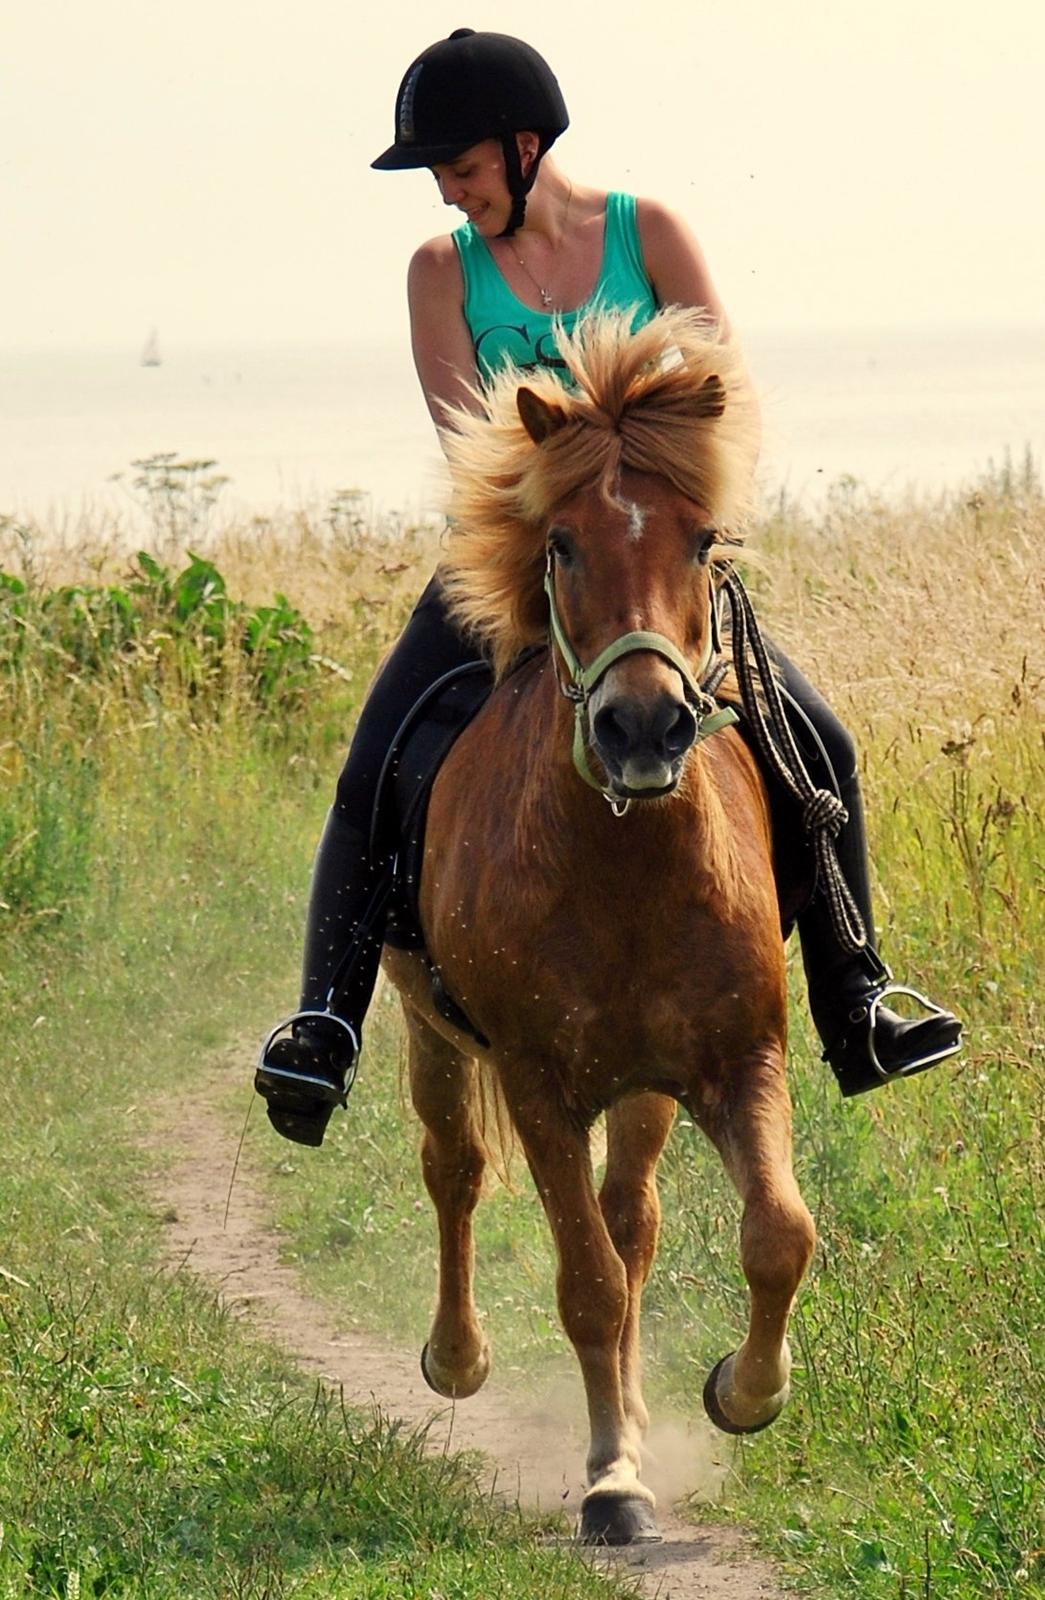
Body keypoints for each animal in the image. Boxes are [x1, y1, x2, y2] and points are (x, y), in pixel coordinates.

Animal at [380, 305, 816, 1542]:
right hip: (428, 1032)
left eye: (704, 538)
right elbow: (583, 1281)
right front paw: (614, 1477)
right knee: (455, 1168)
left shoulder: (737, 1059)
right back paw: (458, 1358)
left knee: (635, 1219)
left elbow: (777, 1234)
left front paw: (740, 1393)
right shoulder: (537, 1083)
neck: (621, 859)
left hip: (645, 1088)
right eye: (562, 543)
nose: (641, 728)